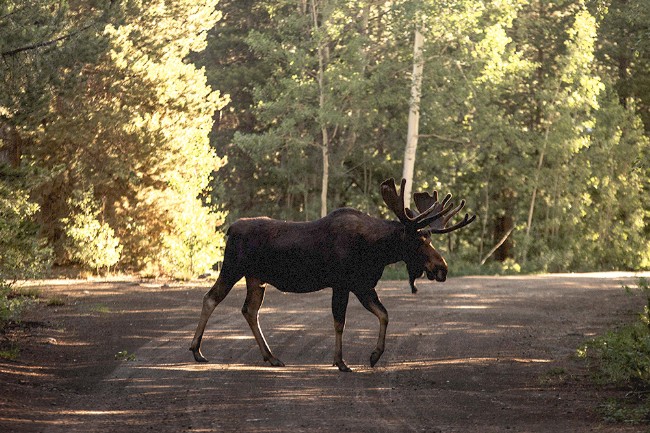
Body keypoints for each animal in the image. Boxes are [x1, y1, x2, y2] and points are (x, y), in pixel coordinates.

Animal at [189, 178, 476, 372]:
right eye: (419, 241)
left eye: (430, 238)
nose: (442, 268)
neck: (376, 251)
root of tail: (230, 229)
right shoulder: (342, 283)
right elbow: (340, 322)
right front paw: (341, 361)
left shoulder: (362, 284)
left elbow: (384, 314)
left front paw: (374, 355)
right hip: (233, 267)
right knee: (211, 298)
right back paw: (196, 350)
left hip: (256, 278)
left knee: (249, 310)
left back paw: (271, 356)